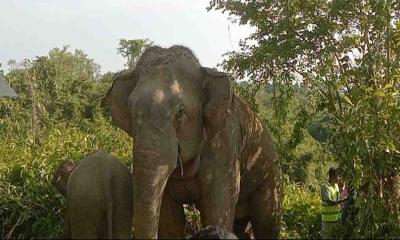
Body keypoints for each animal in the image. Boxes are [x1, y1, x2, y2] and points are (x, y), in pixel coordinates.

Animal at [101, 46, 282, 239]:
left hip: (269, 174)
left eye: (180, 113)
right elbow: (170, 219)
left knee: (266, 223)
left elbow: (216, 209)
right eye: (131, 110)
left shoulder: (224, 143)